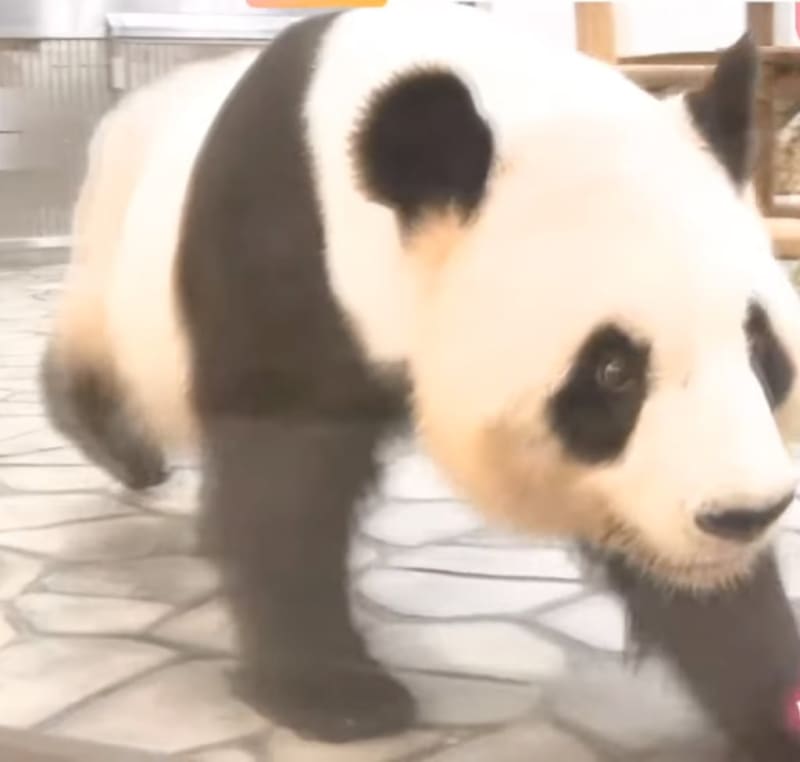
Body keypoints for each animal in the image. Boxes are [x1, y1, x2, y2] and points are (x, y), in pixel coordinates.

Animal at [39, 3, 800, 758]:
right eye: (613, 371)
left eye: (760, 348)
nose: (744, 514)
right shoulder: (283, 244)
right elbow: (282, 472)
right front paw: (335, 697)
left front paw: (768, 693)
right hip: (115, 253)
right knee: (97, 353)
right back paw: (119, 447)